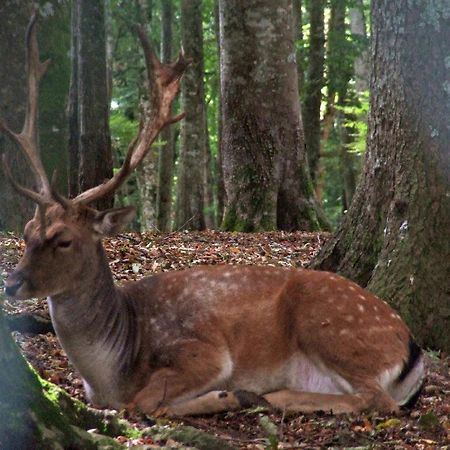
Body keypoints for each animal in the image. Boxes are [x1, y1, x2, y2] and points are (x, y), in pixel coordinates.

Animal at [1, 14, 424, 418]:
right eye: (26, 232)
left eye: (64, 239)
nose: (12, 283)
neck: (112, 371)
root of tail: (412, 347)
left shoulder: (204, 351)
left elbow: (145, 401)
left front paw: (224, 395)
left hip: (331, 324)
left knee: (378, 400)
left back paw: (271, 396)